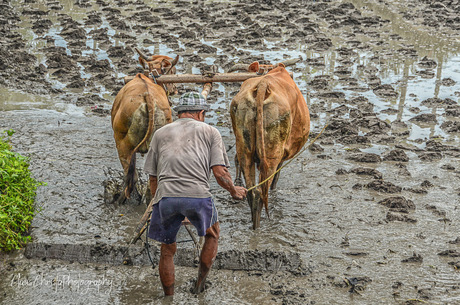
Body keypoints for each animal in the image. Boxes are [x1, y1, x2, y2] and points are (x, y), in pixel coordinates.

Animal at [110, 48, 179, 203]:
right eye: (173, 71)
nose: (175, 89)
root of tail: (148, 96)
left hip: (122, 144)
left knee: (130, 178)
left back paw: (120, 200)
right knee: (151, 183)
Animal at [229, 61, 310, 228]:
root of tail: (263, 84)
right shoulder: (282, 156)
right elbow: (275, 180)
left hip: (244, 149)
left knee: (252, 192)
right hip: (273, 152)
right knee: (261, 192)